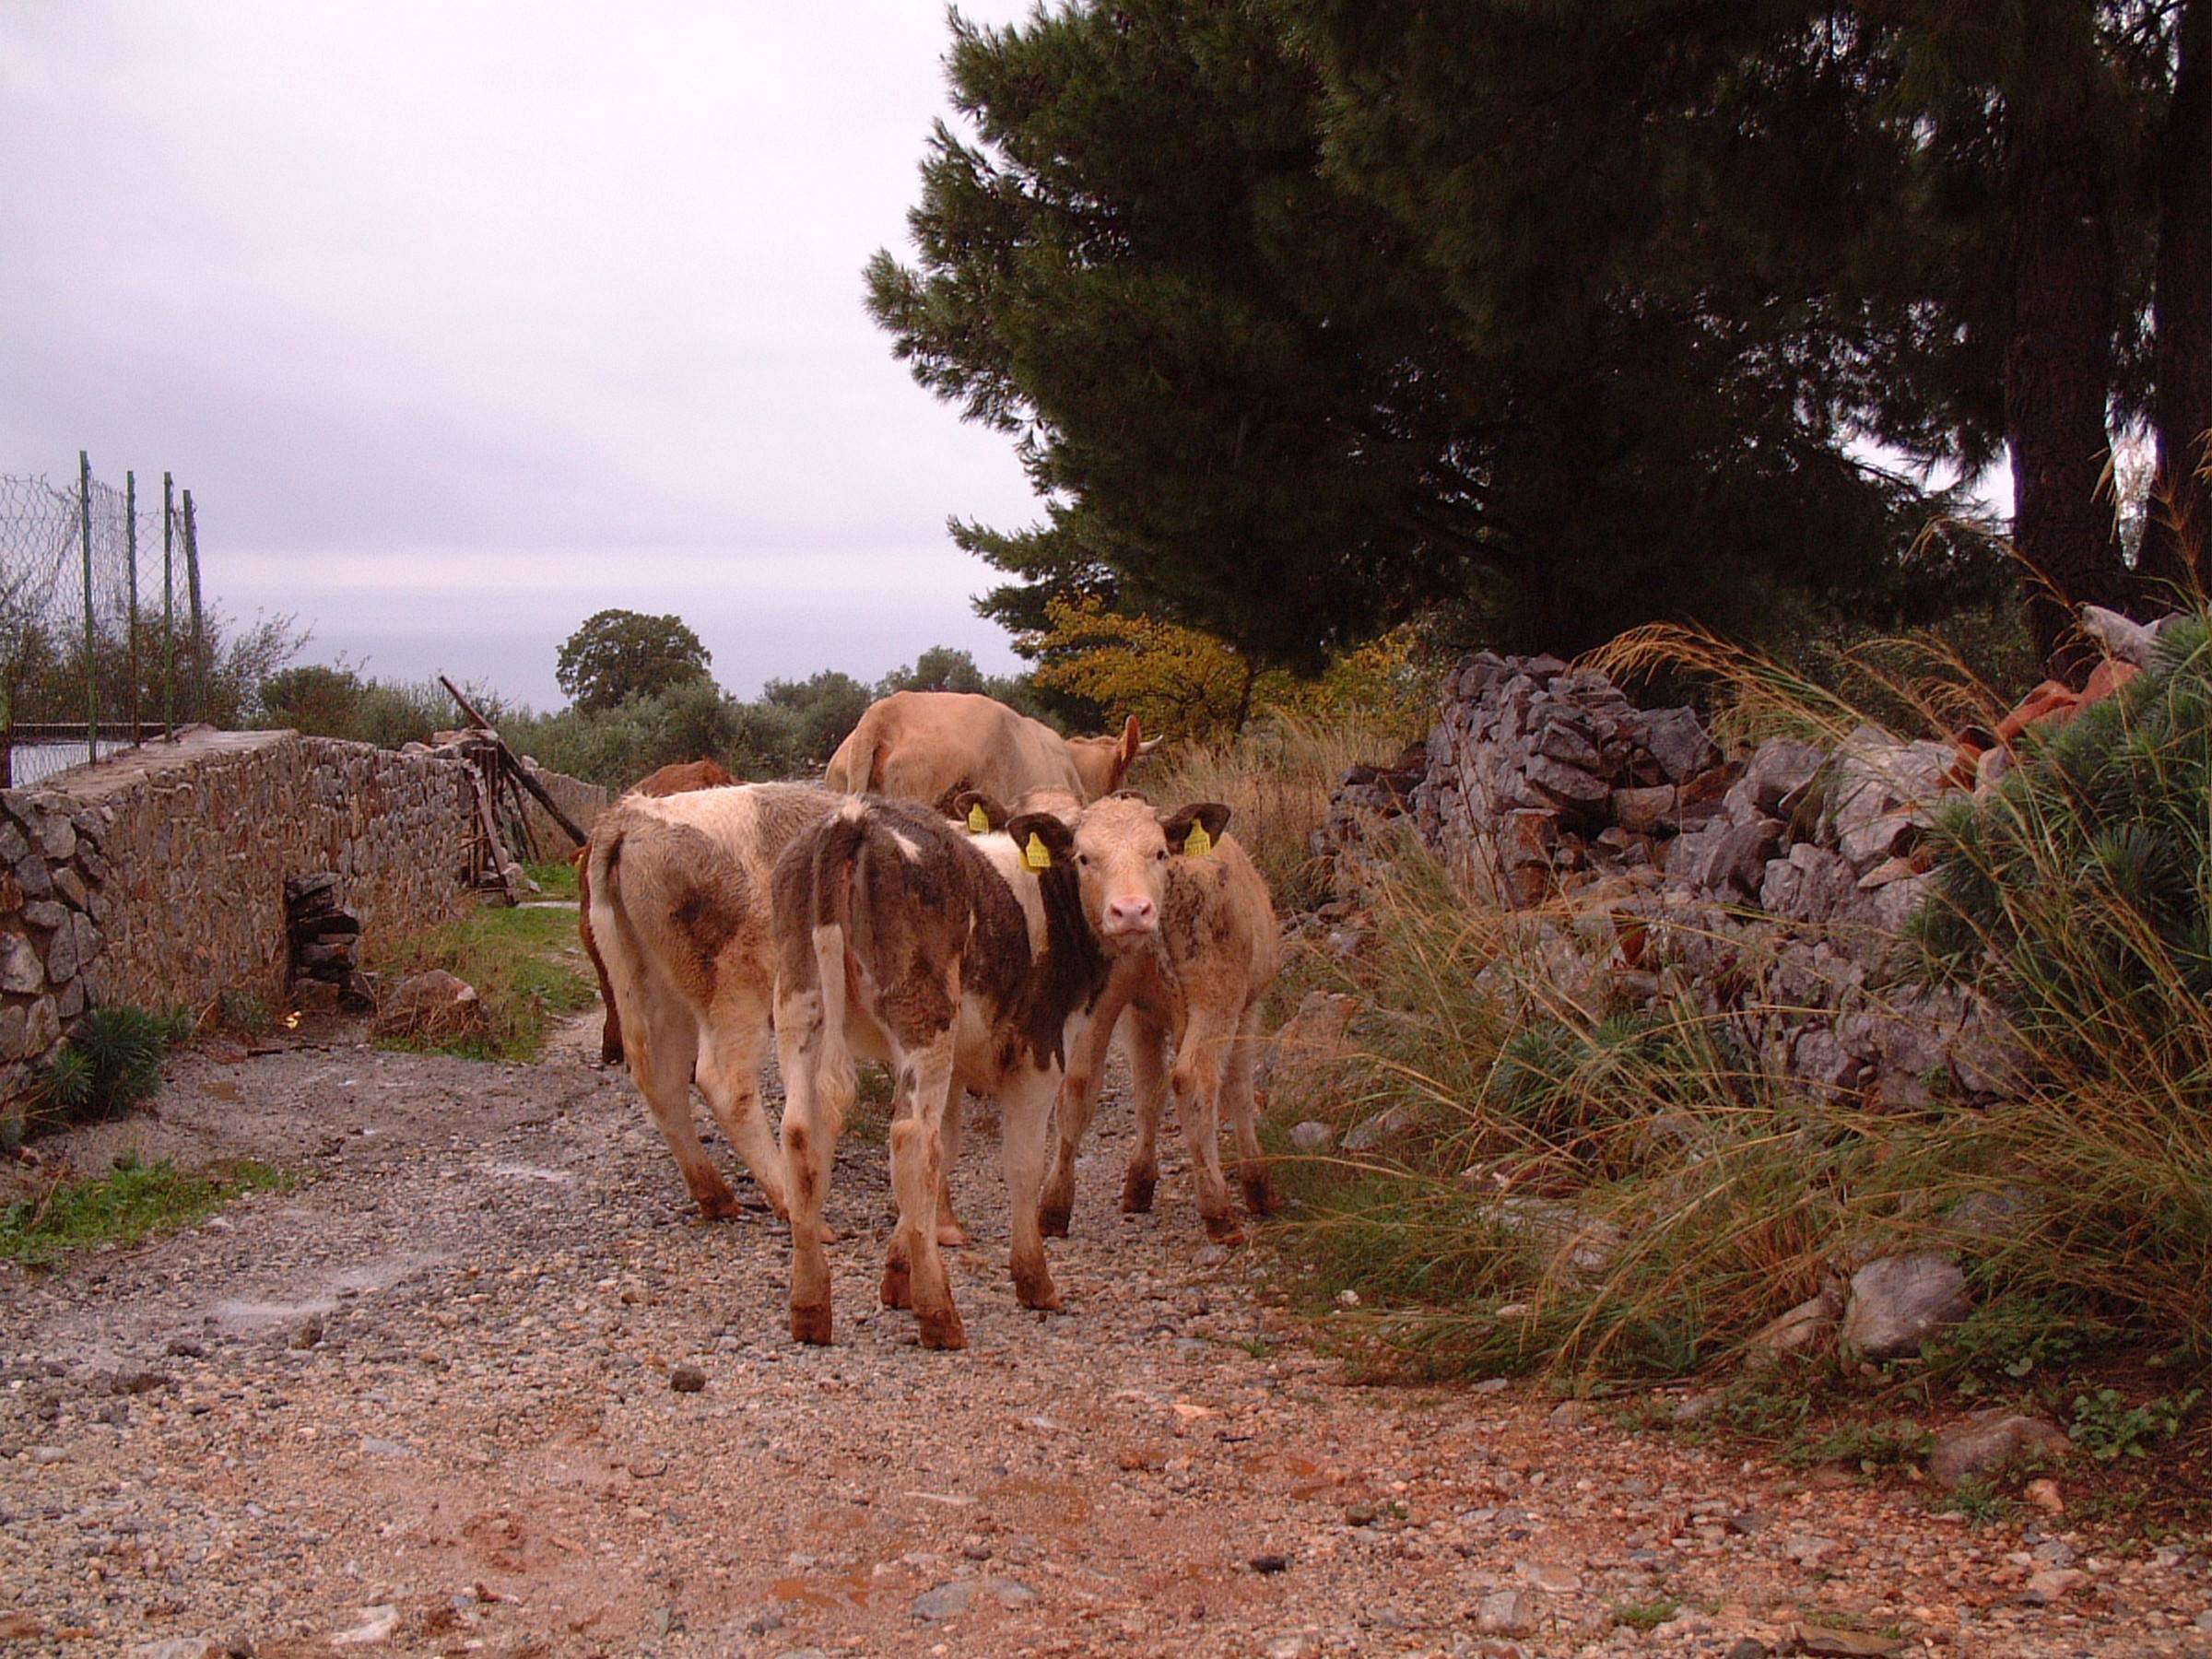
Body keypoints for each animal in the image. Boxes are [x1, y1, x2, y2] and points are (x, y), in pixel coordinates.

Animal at [588, 778, 836, 1220]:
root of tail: (633, 815)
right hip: (734, 987)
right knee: (725, 1083)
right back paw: (789, 1201)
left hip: (654, 988)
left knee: (661, 1077)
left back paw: (714, 1194)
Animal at [770, 792, 1230, 1353]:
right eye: (1085, 857)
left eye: (1159, 853)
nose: (1131, 912)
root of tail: (855, 816)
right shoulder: (1039, 1051)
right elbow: (1022, 1163)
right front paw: (1033, 1279)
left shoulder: (951, 1068)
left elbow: (945, 1154)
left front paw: (898, 1279)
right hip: (923, 1017)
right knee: (910, 1141)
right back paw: (940, 1315)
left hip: (800, 1005)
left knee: (804, 1136)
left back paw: (810, 1307)